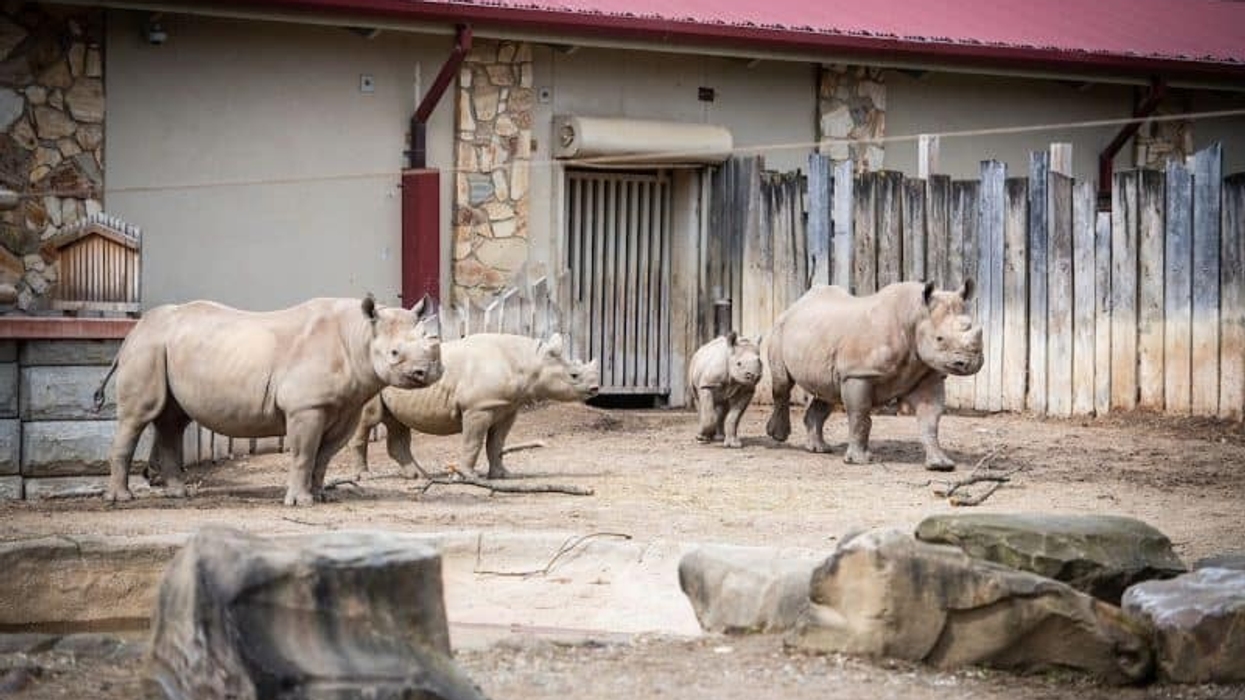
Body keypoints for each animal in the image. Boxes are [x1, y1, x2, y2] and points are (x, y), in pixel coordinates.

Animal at [97, 295, 442, 506]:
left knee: (172, 420)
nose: (426, 373)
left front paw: (320, 496)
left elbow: (323, 457)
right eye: (394, 354)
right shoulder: (307, 406)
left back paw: (178, 494)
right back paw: (121, 498)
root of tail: (132, 332)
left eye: (431, 343)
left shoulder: (346, 407)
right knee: (138, 417)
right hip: (147, 348)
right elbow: (304, 453)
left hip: (163, 347)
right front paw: (301, 502)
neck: (359, 336)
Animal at [349, 332, 599, 480]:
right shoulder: (478, 408)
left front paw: (502, 475)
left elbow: (497, 443)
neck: (528, 362)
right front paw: (469, 477)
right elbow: (474, 442)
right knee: (369, 420)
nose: (596, 389)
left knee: (397, 424)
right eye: (574, 375)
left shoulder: (507, 407)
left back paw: (421, 476)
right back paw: (365, 477)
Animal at [765, 280, 983, 470]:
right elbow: (860, 416)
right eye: (939, 339)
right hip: (780, 327)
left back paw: (820, 449)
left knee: (827, 392)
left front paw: (940, 464)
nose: (970, 364)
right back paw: (779, 436)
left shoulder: (928, 374)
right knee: (783, 384)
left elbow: (931, 419)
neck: (914, 315)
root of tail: (796, 304)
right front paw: (859, 461)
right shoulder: (858, 373)